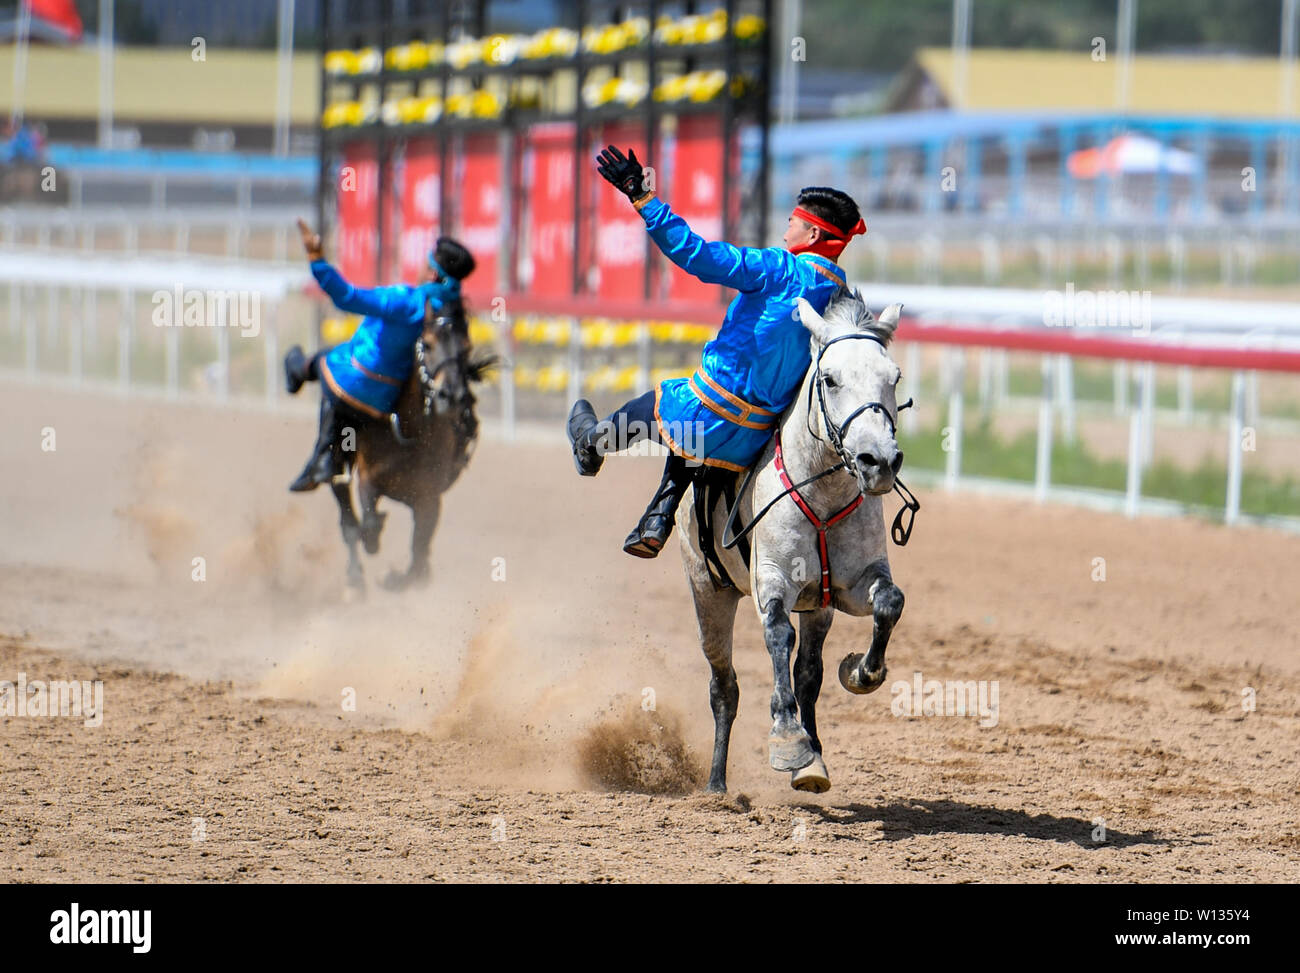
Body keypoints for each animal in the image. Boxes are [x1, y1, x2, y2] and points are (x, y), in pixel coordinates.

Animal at [332, 293, 493, 593]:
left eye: (466, 347)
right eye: (427, 344)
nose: (450, 396)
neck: (410, 429)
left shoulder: (429, 496)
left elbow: (419, 552)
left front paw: (402, 577)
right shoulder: (369, 478)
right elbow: (369, 520)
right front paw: (373, 543)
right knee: (347, 517)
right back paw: (355, 579)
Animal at [681, 284, 915, 796]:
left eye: (894, 376)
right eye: (829, 378)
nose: (878, 462)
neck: (822, 495)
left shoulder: (850, 587)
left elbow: (889, 602)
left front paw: (862, 672)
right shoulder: (770, 581)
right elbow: (776, 633)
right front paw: (788, 738)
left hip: (818, 606)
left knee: (808, 673)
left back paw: (813, 763)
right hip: (709, 592)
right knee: (724, 687)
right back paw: (717, 785)